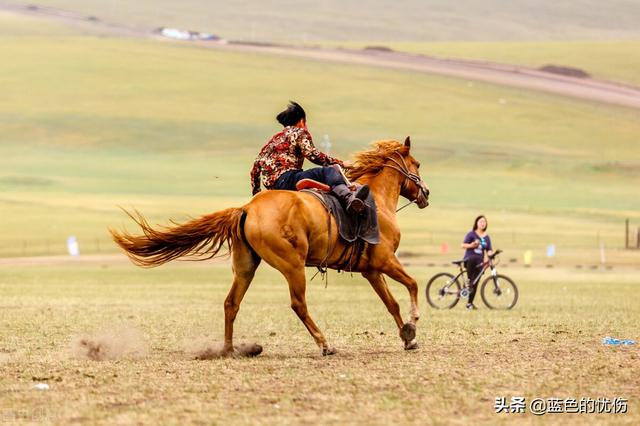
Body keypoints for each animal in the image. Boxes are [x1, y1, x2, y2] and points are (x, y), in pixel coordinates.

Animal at [110, 137, 430, 356]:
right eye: (416, 165)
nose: (426, 193)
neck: (376, 199)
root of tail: (246, 209)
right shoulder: (385, 261)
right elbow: (413, 285)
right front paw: (413, 324)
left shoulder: (371, 270)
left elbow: (391, 302)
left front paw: (408, 337)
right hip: (293, 265)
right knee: (298, 304)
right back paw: (324, 344)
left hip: (246, 267)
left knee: (231, 303)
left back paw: (230, 349)